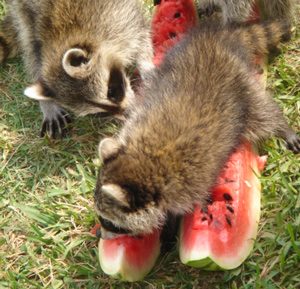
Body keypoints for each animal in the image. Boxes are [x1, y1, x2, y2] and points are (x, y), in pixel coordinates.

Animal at [0, 0, 154, 137]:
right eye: (100, 113)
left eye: (111, 91)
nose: (131, 113)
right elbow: (34, 50)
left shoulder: (120, 17)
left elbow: (143, 37)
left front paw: (146, 68)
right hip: (21, 9)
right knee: (28, 39)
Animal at [94, 20, 300, 238]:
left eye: (109, 223)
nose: (99, 235)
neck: (145, 158)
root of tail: (212, 40)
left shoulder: (189, 183)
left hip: (240, 83)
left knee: (263, 112)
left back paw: (281, 127)